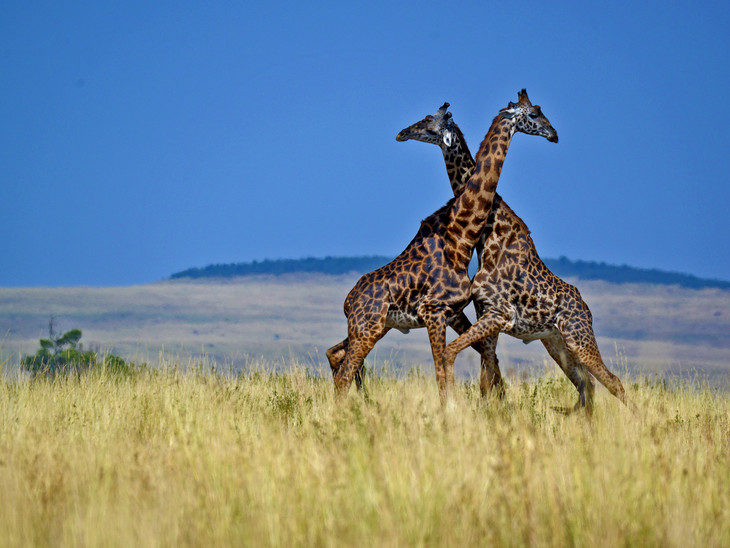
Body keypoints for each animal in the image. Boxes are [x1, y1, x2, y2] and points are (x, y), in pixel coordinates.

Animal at [328, 89, 556, 398]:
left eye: (429, 121)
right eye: (534, 114)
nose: (554, 134)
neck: (460, 237)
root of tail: (348, 300)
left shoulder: (453, 312)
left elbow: (478, 357)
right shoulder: (435, 312)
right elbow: (445, 371)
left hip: (375, 327)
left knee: (336, 357)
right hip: (368, 328)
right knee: (343, 374)